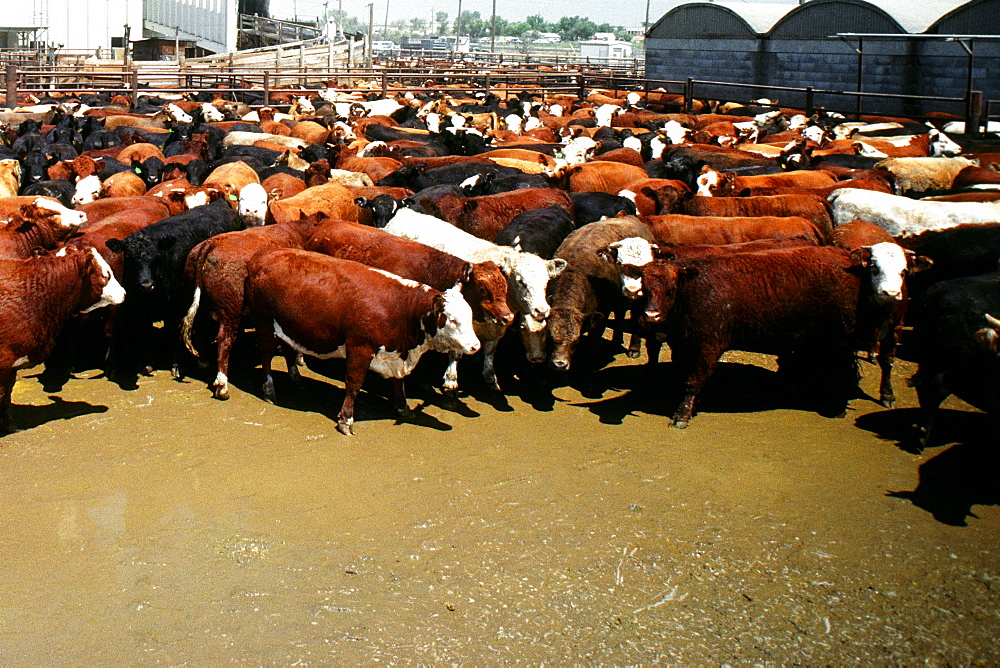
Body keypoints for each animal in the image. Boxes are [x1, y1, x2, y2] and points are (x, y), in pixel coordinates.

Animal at [0, 248, 125, 430]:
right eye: (106, 275)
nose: (124, 293)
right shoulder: (4, 361)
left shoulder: (12, 363)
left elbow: (7, 394)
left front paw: (10, 424)